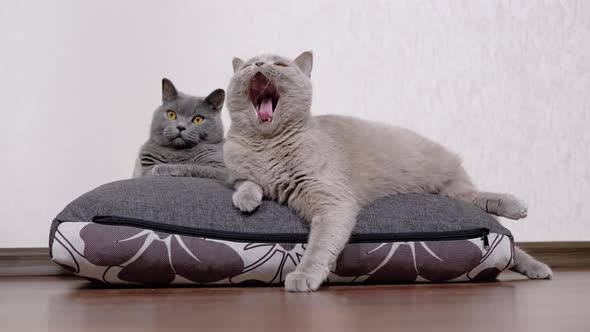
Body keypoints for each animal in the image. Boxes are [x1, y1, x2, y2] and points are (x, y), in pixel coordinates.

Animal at [223, 50, 556, 292]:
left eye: (279, 64)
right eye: (249, 65)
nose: (260, 65)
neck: (268, 146)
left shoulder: (332, 200)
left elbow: (318, 246)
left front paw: (303, 276)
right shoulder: (238, 171)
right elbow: (246, 181)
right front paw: (246, 200)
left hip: (449, 186)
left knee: (492, 215)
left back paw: (518, 213)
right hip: (450, 194)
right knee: (497, 229)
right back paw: (534, 264)